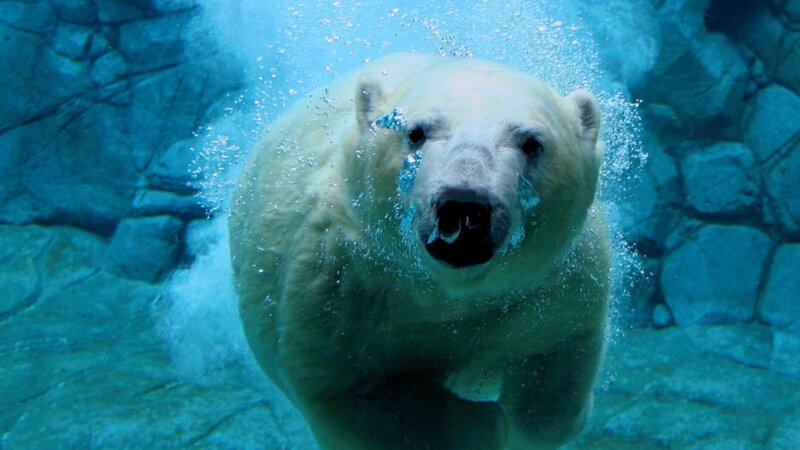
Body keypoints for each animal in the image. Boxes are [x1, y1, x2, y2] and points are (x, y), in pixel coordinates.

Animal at [229, 53, 610, 450]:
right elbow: (347, 392)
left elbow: (556, 362)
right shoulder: (337, 286)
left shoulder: (552, 286)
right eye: (415, 132)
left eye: (532, 142)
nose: (464, 206)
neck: (446, 292)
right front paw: (482, 424)